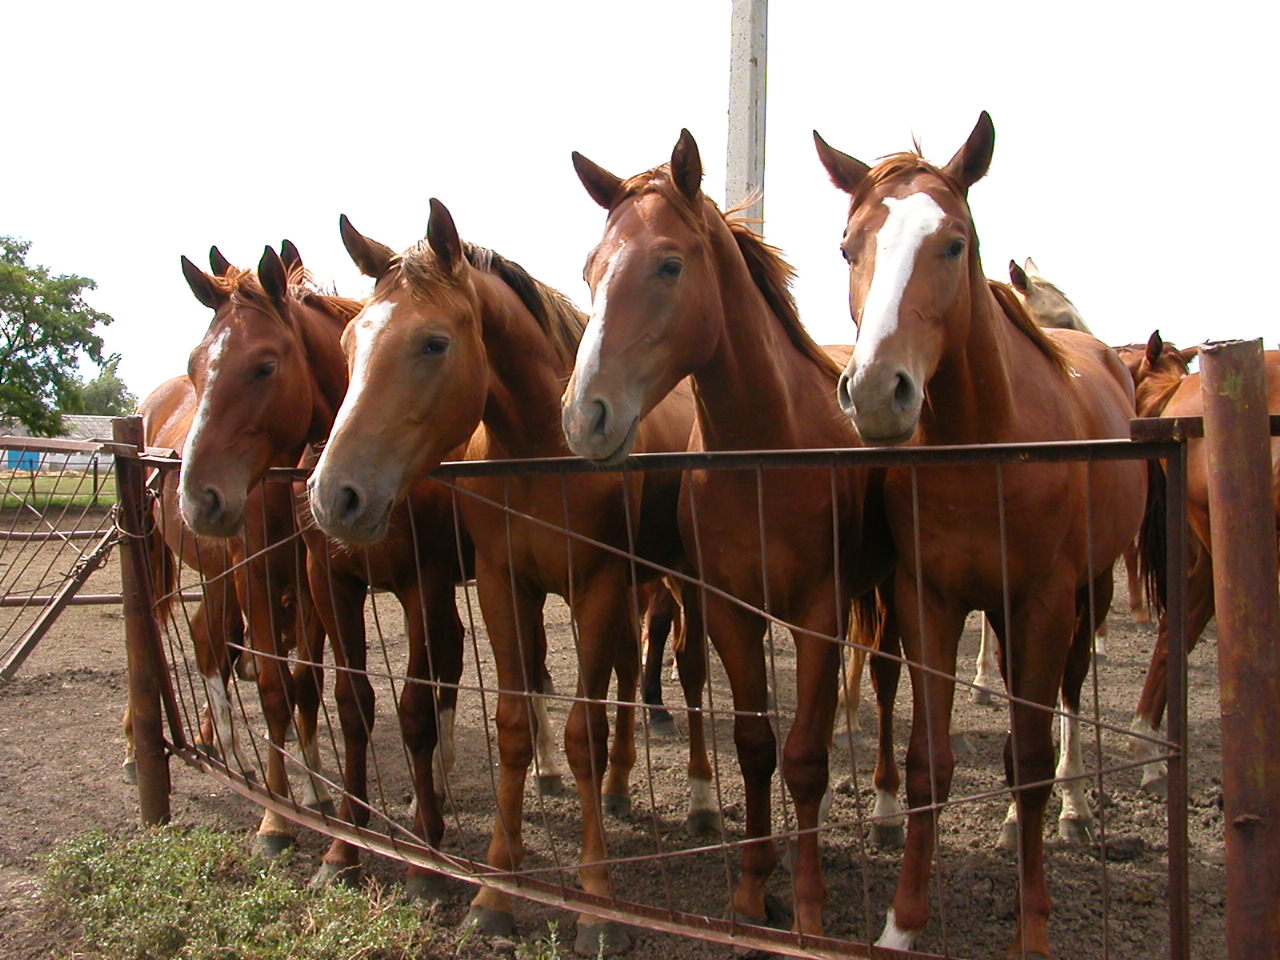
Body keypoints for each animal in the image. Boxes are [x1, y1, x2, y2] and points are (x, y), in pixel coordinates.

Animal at [176, 245, 477, 898]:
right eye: (194, 366)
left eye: (264, 367)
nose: (198, 499)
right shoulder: (327, 581)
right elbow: (344, 700)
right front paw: (341, 843)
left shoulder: (422, 582)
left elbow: (413, 706)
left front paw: (426, 858)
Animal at [307, 201, 710, 956]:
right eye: (348, 343)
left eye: (433, 343)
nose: (333, 496)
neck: (542, 454)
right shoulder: (503, 587)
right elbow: (516, 725)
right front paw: (495, 890)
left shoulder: (598, 585)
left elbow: (582, 733)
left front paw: (596, 903)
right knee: (621, 675)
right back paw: (618, 787)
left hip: (676, 584)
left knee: (688, 674)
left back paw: (701, 800)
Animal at [563, 130, 893, 937]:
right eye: (591, 268)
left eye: (669, 263)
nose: (584, 416)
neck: (768, 453)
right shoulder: (730, 614)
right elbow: (755, 745)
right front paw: (750, 889)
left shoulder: (819, 614)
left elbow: (803, 757)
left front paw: (808, 905)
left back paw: (887, 808)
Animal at [814, 112, 1146, 956]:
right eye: (847, 246)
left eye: (954, 242)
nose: (877, 392)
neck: (984, 446)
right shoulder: (925, 601)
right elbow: (930, 764)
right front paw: (902, 923)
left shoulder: (1044, 603)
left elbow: (1028, 758)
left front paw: (1034, 925)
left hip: (1089, 595)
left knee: (1066, 702)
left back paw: (1073, 813)